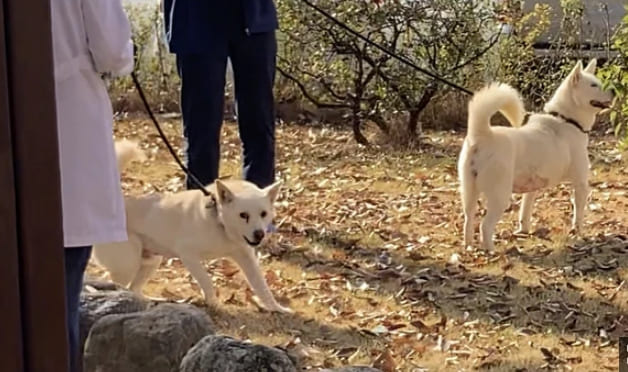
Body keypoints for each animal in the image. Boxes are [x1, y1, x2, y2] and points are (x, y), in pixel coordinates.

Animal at [91, 141, 292, 312]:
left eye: (264, 214)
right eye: (243, 215)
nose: (259, 235)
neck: (219, 223)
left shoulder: (247, 258)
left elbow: (262, 287)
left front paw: (276, 308)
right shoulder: (188, 255)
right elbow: (207, 280)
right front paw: (214, 303)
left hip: (151, 261)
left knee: (133, 288)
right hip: (128, 264)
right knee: (115, 284)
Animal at [456, 59, 612, 250]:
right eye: (593, 85)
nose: (613, 91)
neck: (566, 120)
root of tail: (482, 135)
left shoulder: (531, 189)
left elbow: (525, 212)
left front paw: (523, 231)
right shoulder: (581, 184)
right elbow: (579, 215)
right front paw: (579, 234)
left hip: (469, 192)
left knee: (468, 219)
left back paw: (468, 246)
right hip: (500, 196)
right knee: (485, 226)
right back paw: (491, 250)